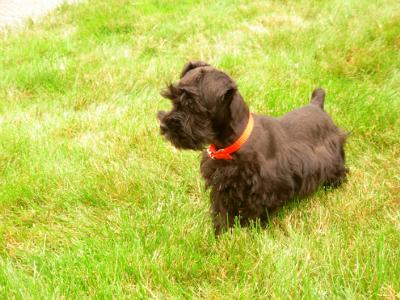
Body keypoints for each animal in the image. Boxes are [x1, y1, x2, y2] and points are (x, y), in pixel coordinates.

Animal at [157, 60, 346, 234]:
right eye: (173, 100)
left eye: (191, 104)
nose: (164, 127)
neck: (233, 142)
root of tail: (317, 105)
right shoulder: (222, 185)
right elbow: (222, 209)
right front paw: (221, 232)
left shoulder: (261, 189)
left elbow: (254, 212)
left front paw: (249, 232)